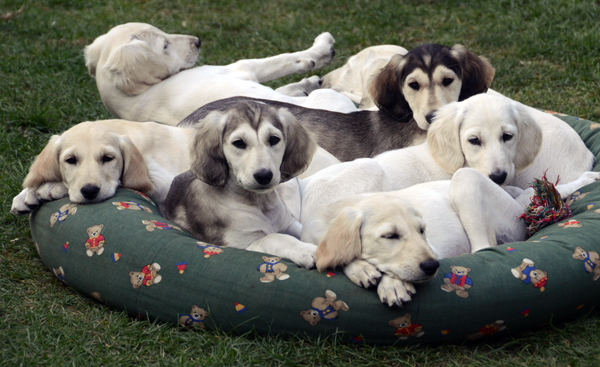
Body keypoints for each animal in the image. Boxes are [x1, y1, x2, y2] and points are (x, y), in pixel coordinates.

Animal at [84, 21, 350, 125]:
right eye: (165, 46)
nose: (198, 41)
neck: (134, 99)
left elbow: (284, 83)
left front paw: (306, 83)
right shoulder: (240, 69)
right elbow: (283, 60)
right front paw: (321, 49)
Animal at [159, 100, 318, 268]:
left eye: (274, 139)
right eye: (239, 143)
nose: (264, 176)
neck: (259, 202)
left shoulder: (289, 223)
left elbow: (305, 230)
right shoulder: (243, 243)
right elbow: (275, 238)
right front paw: (307, 250)